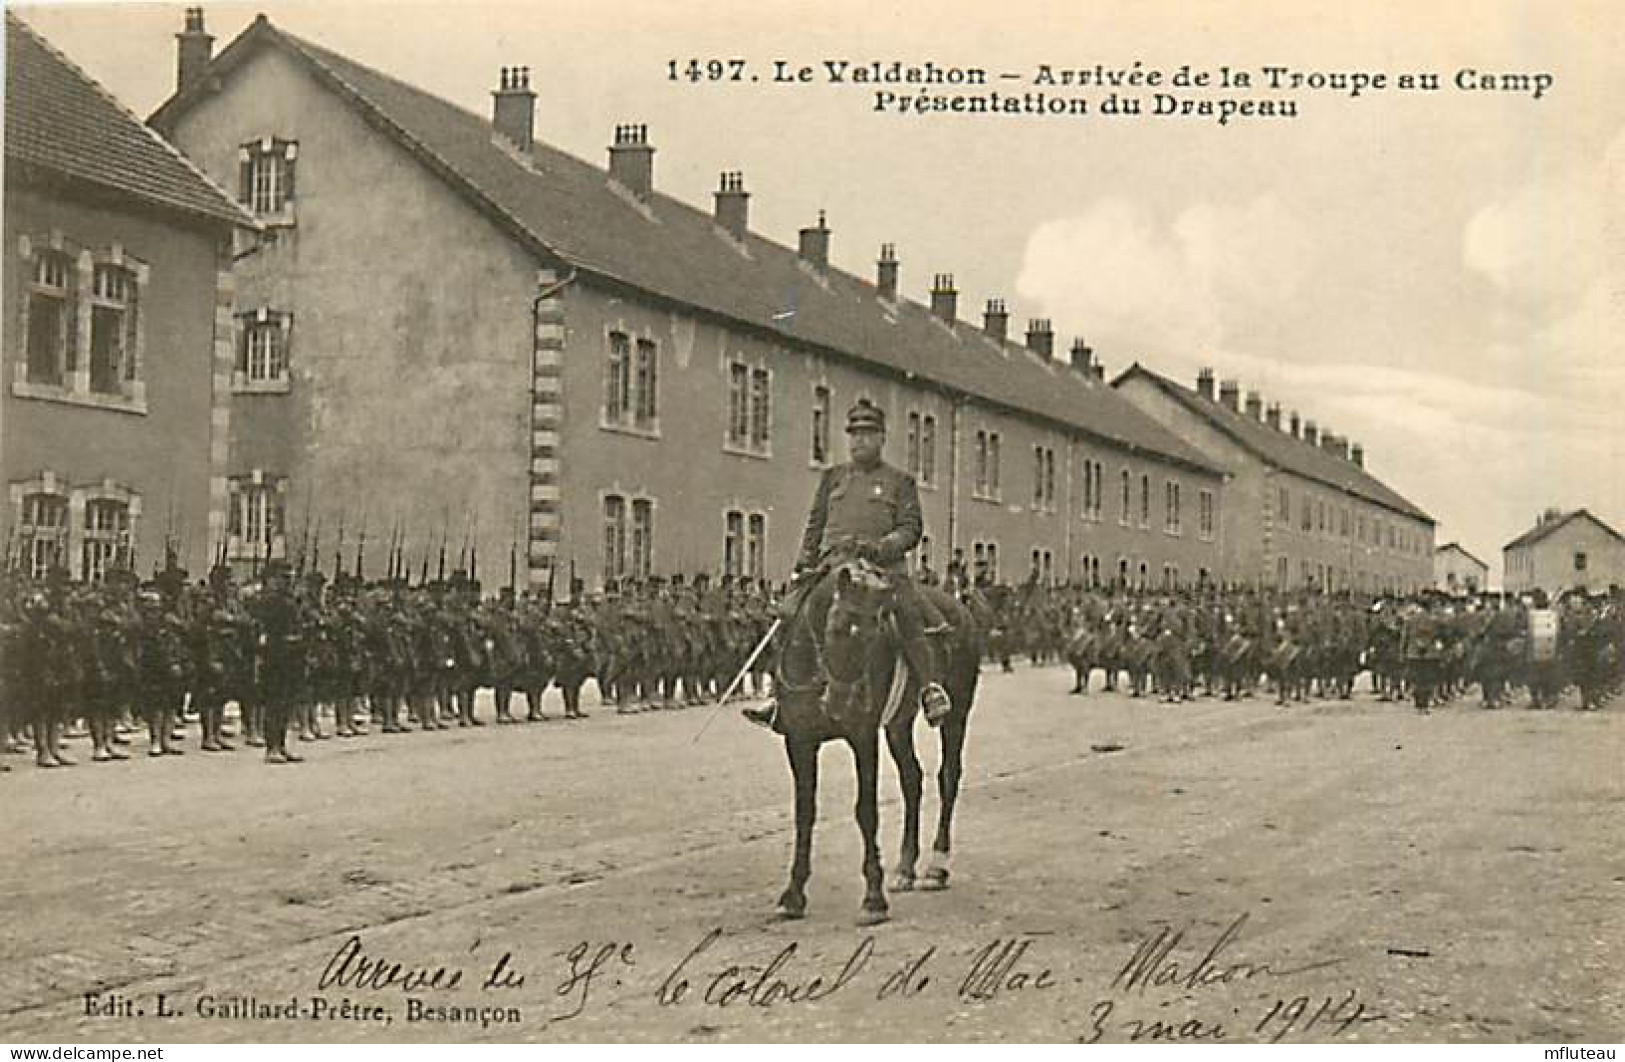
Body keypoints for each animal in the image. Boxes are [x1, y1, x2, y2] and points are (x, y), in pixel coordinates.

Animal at [770, 561, 981, 928]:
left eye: (875, 636)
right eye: (836, 628)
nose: (840, 704)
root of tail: (960, 609)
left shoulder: (862, 736)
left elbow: (866, 811)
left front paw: (873, 900)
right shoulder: (799, 741)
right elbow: (804, 812)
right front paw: (793, 895)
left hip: (957, 715)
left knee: (948, 777)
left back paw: (936, 867)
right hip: (898, 725)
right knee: (912, 779)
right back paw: (906, 868)